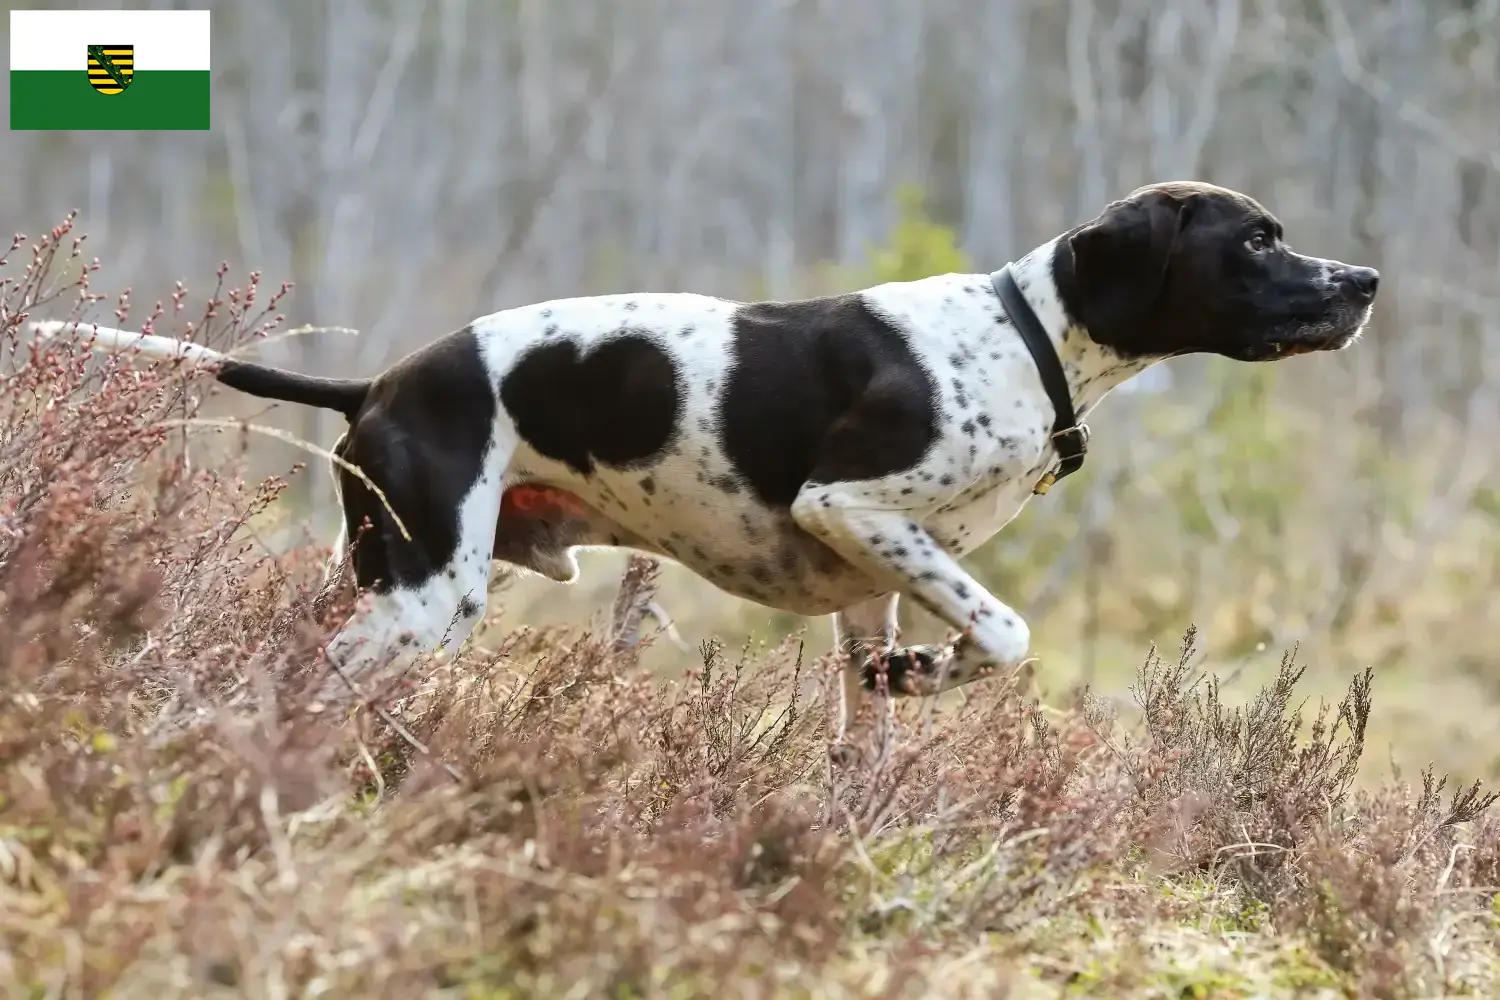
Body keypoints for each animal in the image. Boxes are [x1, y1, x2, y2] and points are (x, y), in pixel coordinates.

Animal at [35, 182, 1374, 743]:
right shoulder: (851, 505)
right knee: (307, 679)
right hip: (421, 600)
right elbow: (1006, 630)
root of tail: (380, 385)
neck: (1023, 334)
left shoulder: (872, 583)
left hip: (388, 574)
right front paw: (940, 670)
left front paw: (900, 712)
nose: (1363, 281)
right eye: (1258, 240)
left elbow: (874, 722)